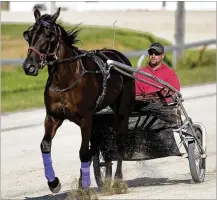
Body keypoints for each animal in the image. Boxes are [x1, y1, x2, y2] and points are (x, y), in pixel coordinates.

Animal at [21, 7, 134, 192]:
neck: (65, 79)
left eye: (49, 35)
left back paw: (117, 179)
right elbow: (46, 145)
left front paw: (84, 186)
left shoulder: (85, 118)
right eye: (28, 35)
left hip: (123, 110)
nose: (29, 66)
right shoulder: (53, 116)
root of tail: (120, 57)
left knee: (120, 141)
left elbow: (83, 152)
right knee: (94, 147)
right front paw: (54, 183)